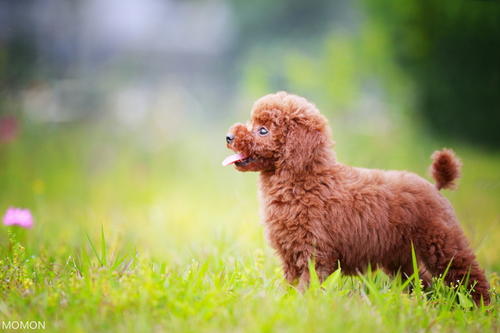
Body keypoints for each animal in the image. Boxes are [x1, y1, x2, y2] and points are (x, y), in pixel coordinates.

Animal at [223, 91, 488, 304]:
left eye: (263, 130)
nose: (228, 137)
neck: (302, 179)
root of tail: (435, 187)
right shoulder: (291, 255)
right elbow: (290, 282)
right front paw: (284, 302)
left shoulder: (314, 252)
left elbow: (307, 285)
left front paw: (303, 305)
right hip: (400, 255)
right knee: (421, 280)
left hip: (440, 241)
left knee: (467, 275)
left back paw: (479, 308)